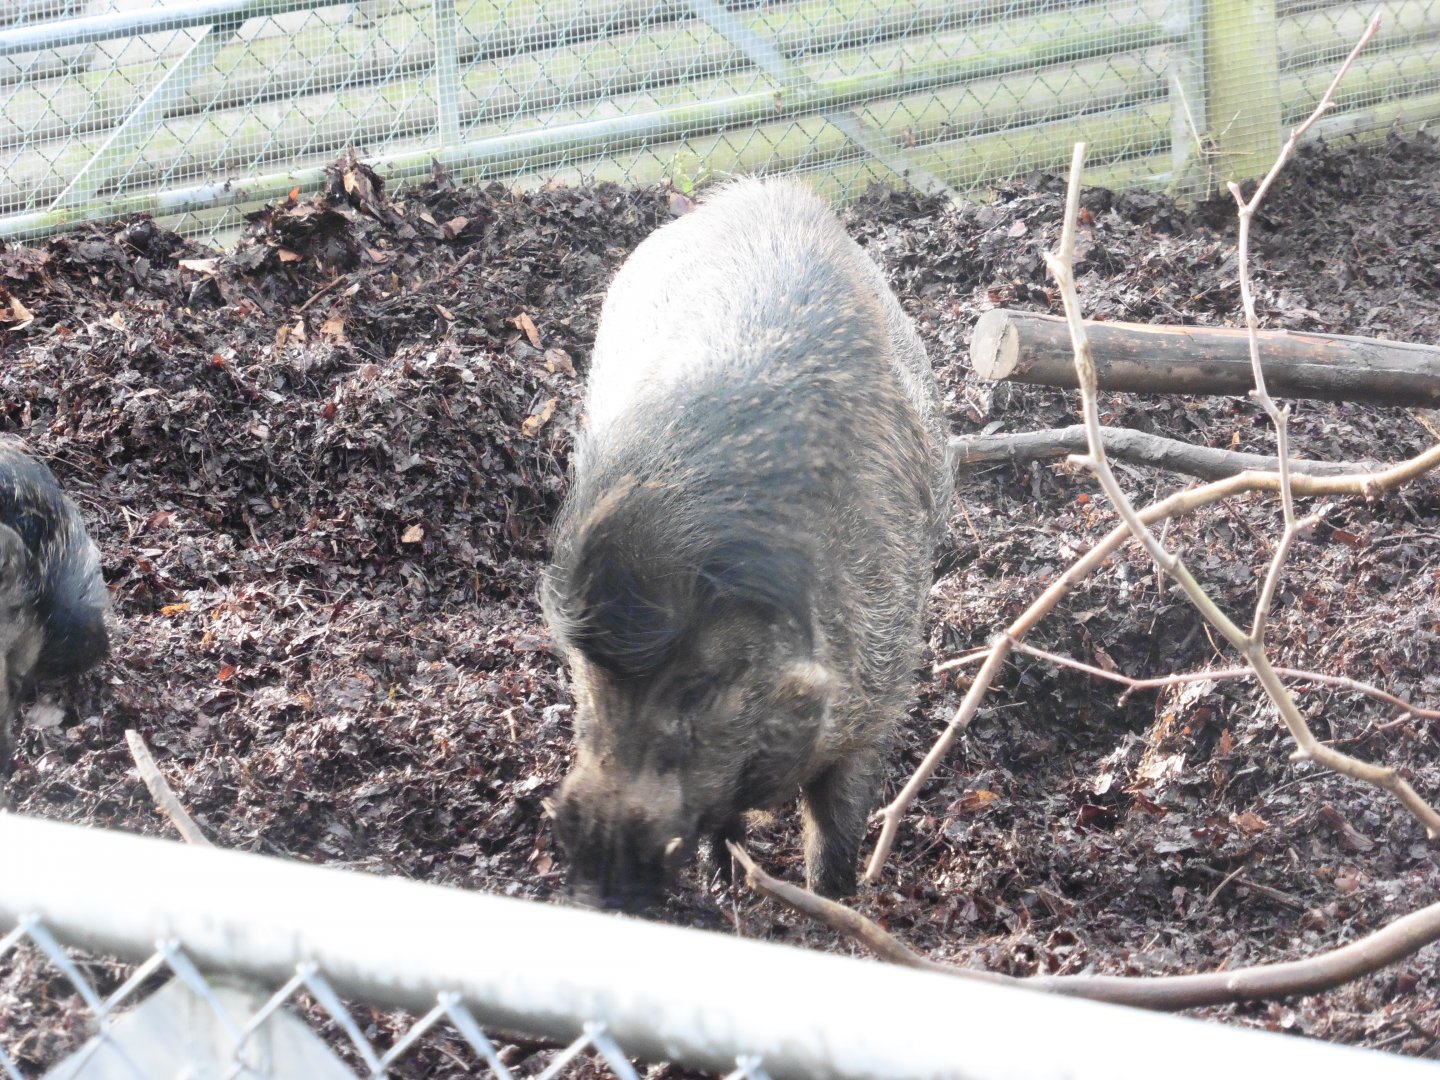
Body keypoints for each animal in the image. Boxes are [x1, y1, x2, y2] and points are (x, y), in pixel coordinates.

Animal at [541, 177, 952, 910]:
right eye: (582, 668)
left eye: (702, 683)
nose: (594, 887)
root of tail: (762, 190)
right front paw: (724, 884)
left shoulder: (878, 691)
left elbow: (837, 825)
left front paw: (830, 907)